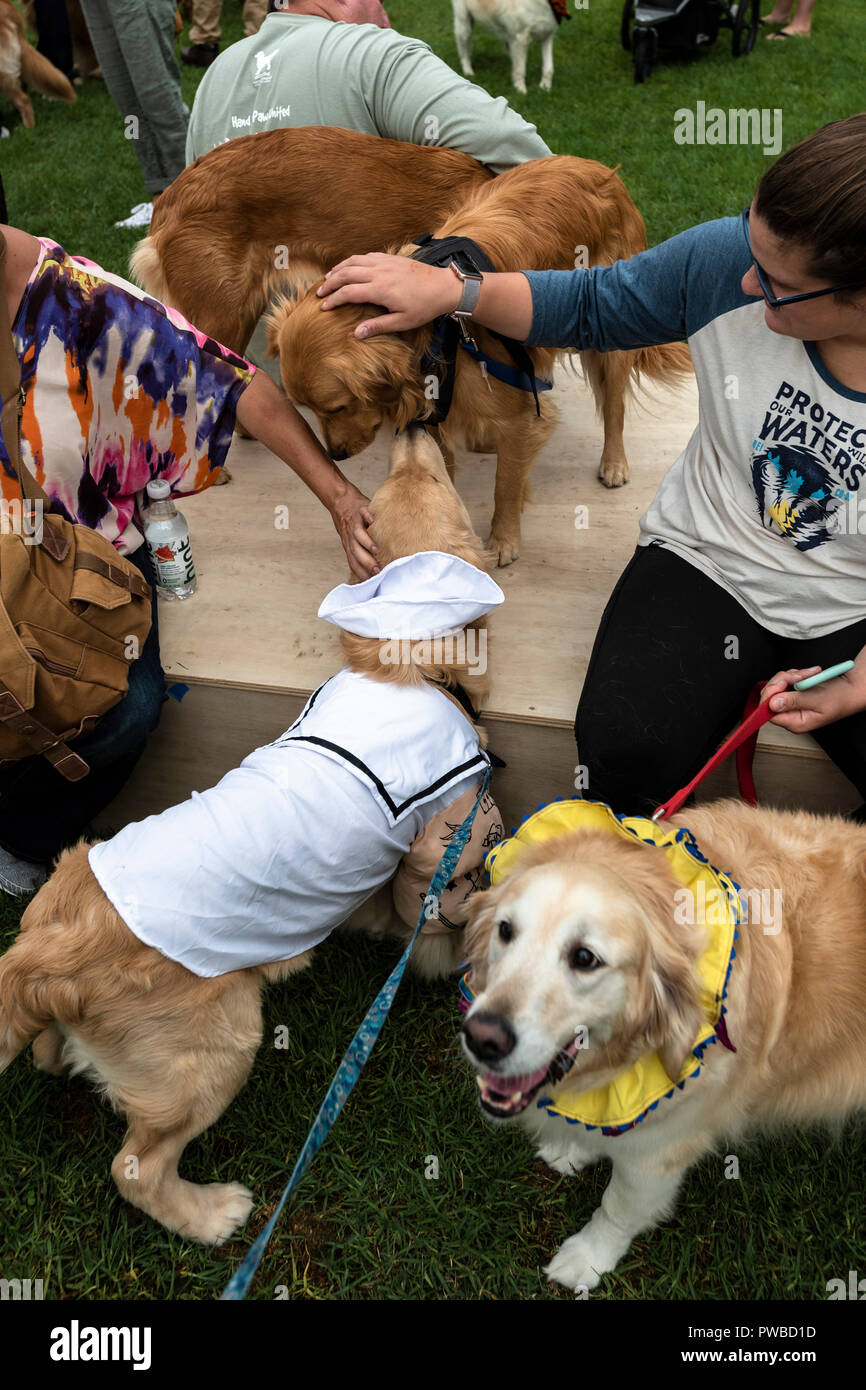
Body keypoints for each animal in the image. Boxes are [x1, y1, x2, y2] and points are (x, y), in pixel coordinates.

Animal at [0, 428, 505, 1245]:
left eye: (391, 489)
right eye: (432, 483)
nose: (414, 426)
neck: (404, 665)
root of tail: (43, 955)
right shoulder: (436, 847)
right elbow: (436, 913)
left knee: (52, 1058)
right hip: (222, 1040)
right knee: (135, 1168)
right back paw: (213, 1214)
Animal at [268, 153, 695, 564]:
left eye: (337, 407)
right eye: (310, 409)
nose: (334, 455)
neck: (432, 327)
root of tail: (602, 170)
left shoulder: (518, 415)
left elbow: (505, 484)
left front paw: (504, 541)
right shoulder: (436, 413)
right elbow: (442, 471)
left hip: (607, 330)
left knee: (613, 405)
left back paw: (614, 462)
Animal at [464, 800, 866, 1295]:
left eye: (584, 958)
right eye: (505, 931)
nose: (482, 1038)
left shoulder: (659, 1154)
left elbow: (617, 1207)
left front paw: (588, 1258)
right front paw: (576, 1147)